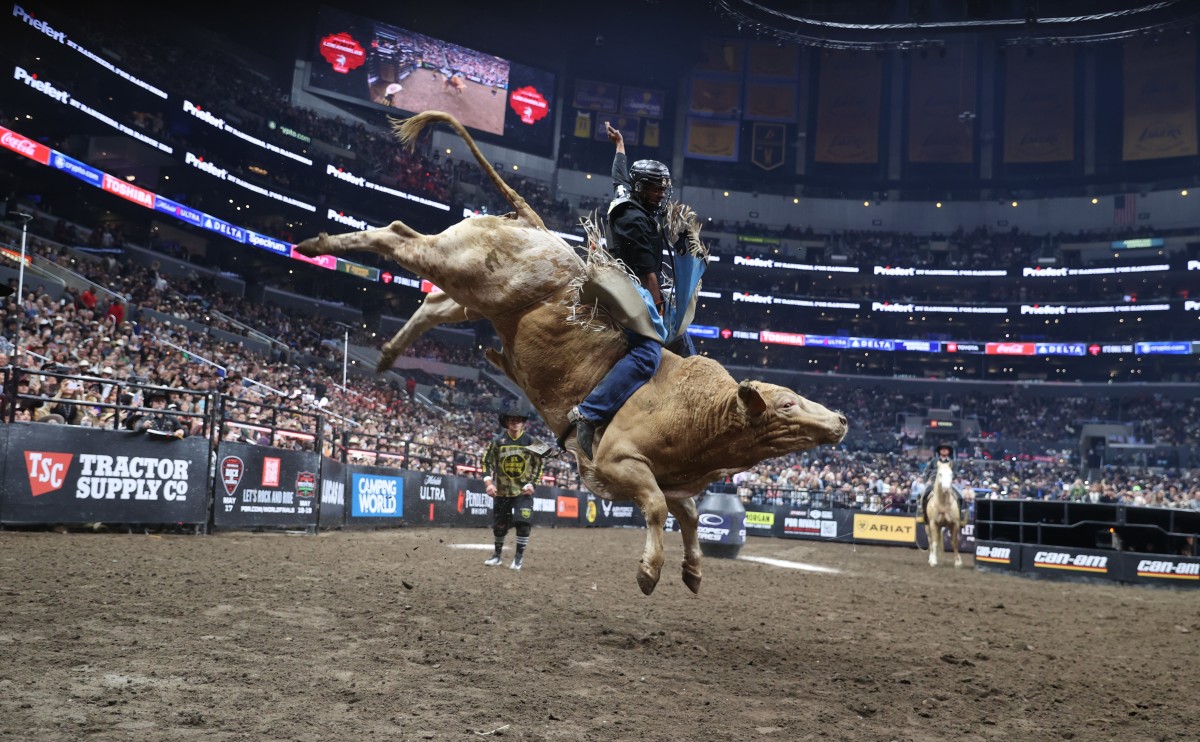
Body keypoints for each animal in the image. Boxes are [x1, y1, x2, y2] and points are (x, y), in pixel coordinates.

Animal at [296, 111, 849, 595]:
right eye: (786, 404)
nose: (841, 419)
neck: (701, 412)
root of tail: (533, 224)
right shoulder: (619, 462)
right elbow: (654, 509)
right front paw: (649, 573)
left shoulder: (675, 483)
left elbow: (689, 515)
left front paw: (693, 573)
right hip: (464, 263)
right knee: (397, 234)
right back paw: (316, 242)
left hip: (477, 295)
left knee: (432, 302)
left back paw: (388, 353)